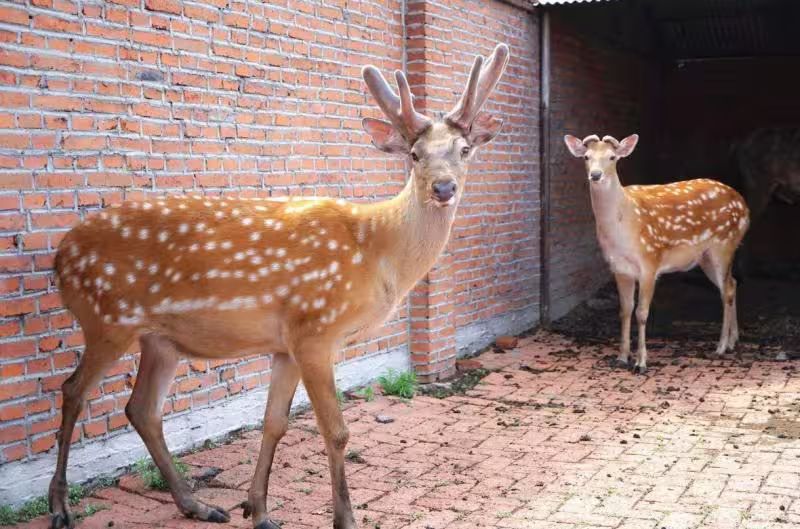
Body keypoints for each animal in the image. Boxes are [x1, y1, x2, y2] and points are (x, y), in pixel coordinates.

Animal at [47, 44, 510, 529]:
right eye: (415, 154)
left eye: (465, 149)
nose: (444, 188)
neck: (376, 253)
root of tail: (60, 256)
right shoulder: (315, 328)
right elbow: (336, 431)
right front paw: (344, 519)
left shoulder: (285, 343)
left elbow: (275, 423)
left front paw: (258, 509)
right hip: (107, 318)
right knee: (74, 391)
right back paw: (60, 507)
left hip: (160, 340)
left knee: (142, 409)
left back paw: (196, 504)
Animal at [564, 134, 750, 374]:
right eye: (586, 157)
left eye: (612, 157)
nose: (595, 175)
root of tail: (745, 206)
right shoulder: (619, 268)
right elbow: (625, 310)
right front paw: (621, 357)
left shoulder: (650, 261)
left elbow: (642, 313)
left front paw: (641, 362)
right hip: (706, 256)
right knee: (732, 284)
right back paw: (733, 340)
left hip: (724, 243)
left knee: (726, 290)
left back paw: (721, 346)